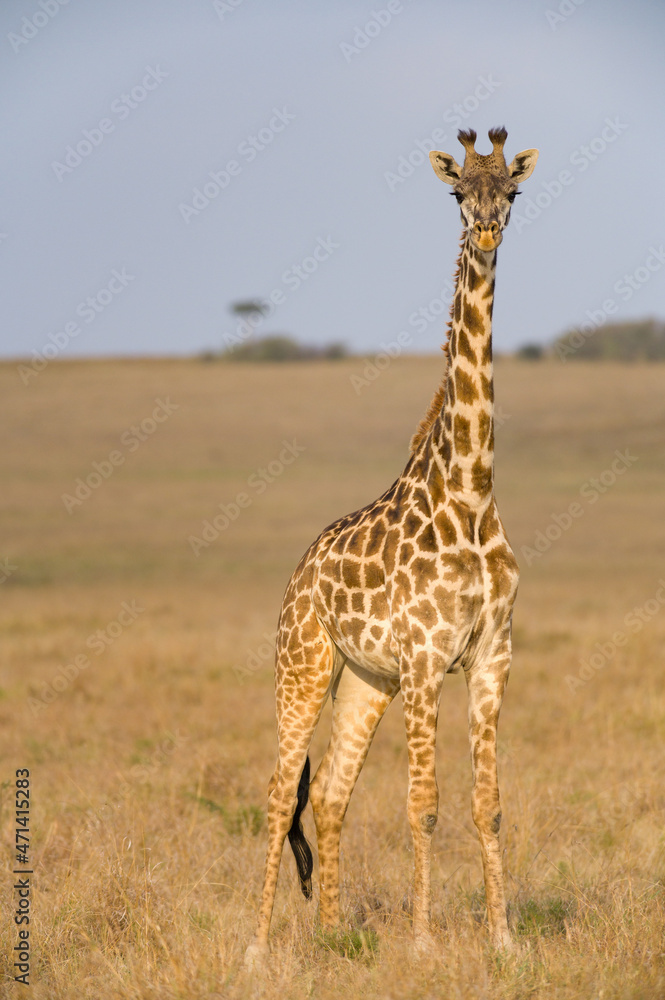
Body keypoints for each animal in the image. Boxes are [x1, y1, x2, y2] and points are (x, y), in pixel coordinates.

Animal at [245, 127, 538, 965]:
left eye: (511, 190)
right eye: (456, 192)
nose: (485, 231)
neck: (470, 493)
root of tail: (300, 569)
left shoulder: (490, 656)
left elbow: (486, 804)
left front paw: (502, 941)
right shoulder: (424, 661)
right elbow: (424, 805)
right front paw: (423, 943)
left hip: (362, 681)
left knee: (330, 795)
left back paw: (333, 933)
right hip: (303, 665)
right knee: (277, 794)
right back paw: (256, 947)